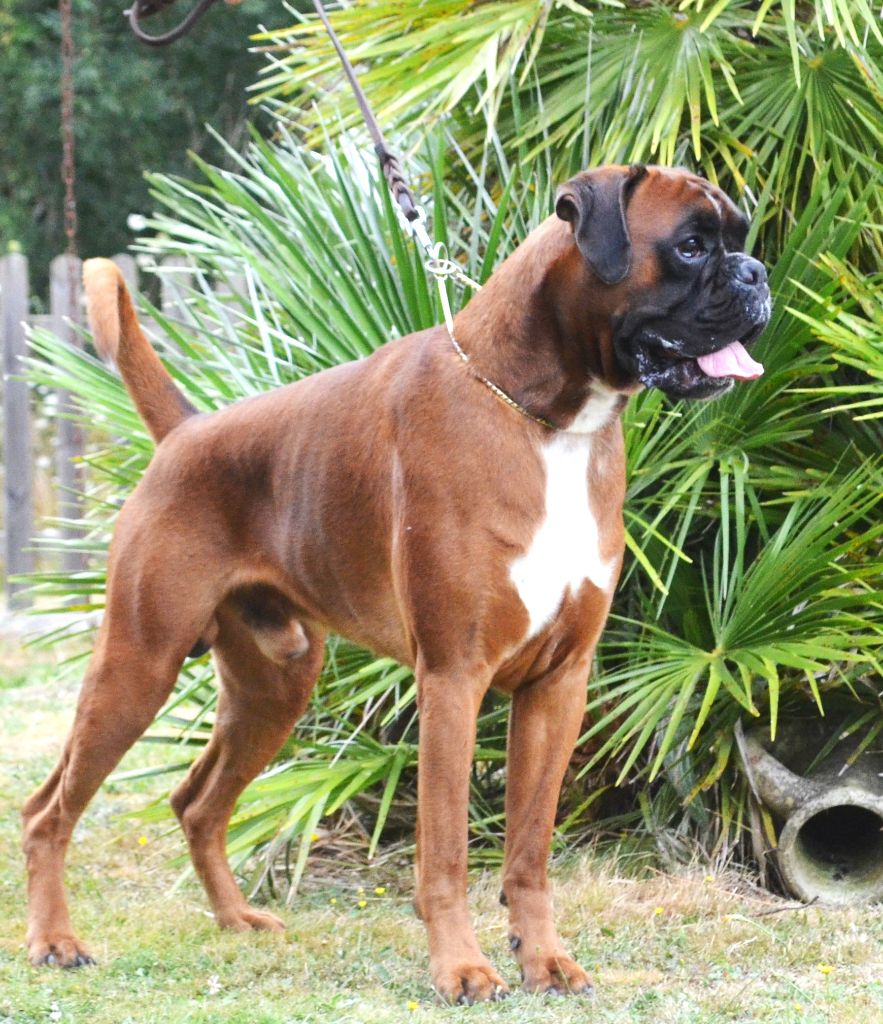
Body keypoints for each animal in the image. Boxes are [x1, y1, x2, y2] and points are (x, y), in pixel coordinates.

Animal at [18, 163, 766, 1003]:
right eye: (691, 245)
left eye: (738, 237)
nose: (755, 273)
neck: (542, 419)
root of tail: (185, 430)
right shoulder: (453, 677)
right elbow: (444, 848)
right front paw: (462, 967)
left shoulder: (557, 685)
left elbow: (528, 849)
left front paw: (543, 958)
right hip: (138, 663)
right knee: (47, 812)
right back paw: (55, 940)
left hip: (274, 685)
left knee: (197, 803)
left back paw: (236, 919)